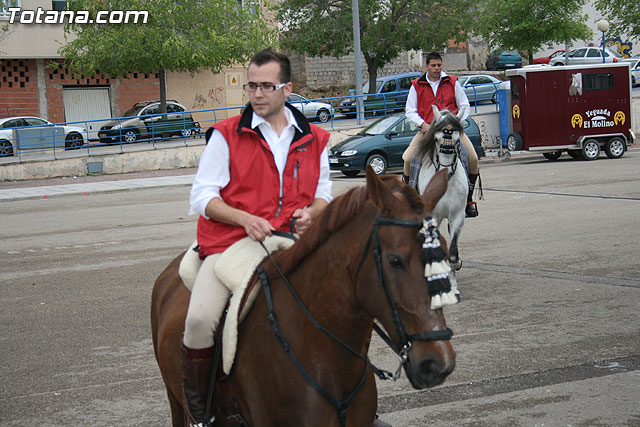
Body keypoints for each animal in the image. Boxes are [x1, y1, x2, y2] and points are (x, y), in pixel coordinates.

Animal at [410, 106, 470, 300]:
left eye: (457, 141)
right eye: (436, 140)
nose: (445, 174)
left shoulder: (457, 216)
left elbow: (451, 252)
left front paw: (454, 288)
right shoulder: (432, 217)